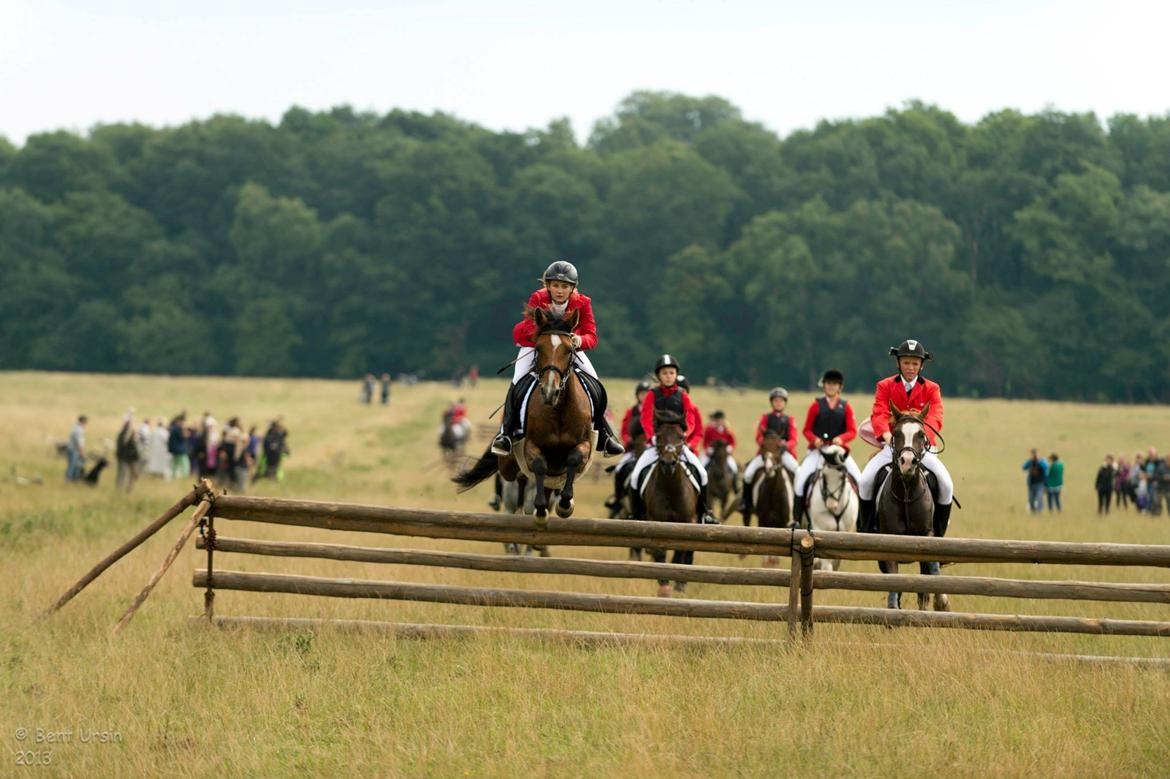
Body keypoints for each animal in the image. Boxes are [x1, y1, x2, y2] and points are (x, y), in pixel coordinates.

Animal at [449, 304, 594, 521]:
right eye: (539, 348)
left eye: (570, 350)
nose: (549, 391)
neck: (558, 409)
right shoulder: (531, 445)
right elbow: (539, 466)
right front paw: (540, 509)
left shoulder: (583, 443)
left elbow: (574, 460)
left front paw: (565, 504)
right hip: (507, 467)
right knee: (515, 482)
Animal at [636, 411, 697, 594]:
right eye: (659, 436)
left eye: (681, 436)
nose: (668, 463)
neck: (671, 489)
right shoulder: (655, 522)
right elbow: (659, 553)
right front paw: (664, 585)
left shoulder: (687, 522)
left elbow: (679, 553)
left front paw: (678, 585)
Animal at [748, 430, 795, 563]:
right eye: (763, 445)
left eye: (779, 446)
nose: (769, 469)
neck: (774, 492)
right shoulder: (763, 521)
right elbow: (767, 557)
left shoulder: (783, 525)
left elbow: (775, 558)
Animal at [804, 442, 861, 570]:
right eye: (824, 476)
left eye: (842, 476)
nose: (831, 505)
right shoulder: (821, 530)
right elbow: (827, 564)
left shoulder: (845, 533)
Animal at [879, 402, 950, 608]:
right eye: (896, 433)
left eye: (921, 434)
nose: (908, 463)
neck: (907, 492)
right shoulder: (889, 541)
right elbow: (894, 584)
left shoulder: (926, 535)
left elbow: (930, 574)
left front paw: (941, 601)